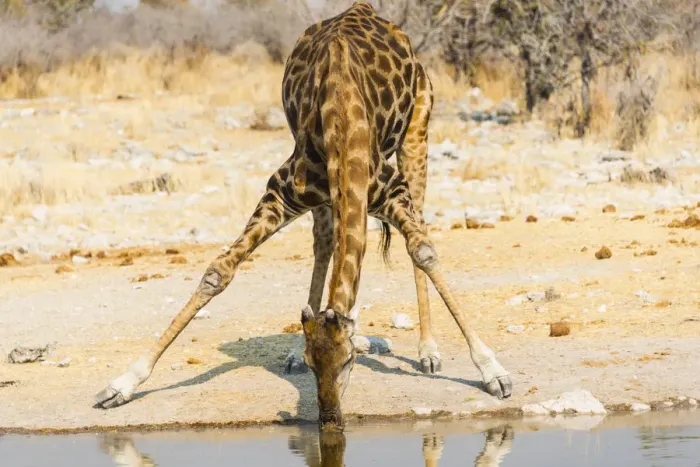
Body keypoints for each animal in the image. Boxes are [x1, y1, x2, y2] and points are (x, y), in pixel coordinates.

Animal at [94, 1, 512, 430]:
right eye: (314, 364)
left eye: (349, 360)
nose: (330, 420)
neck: (344, 122)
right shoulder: (281, 194)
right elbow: (219, 271)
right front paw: (121, 384)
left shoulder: (393, 191)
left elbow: (424, 251)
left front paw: (493, 373)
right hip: (325, 196)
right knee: (324, 243)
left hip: (417, 133)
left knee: (416, 232)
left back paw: (428, 351)